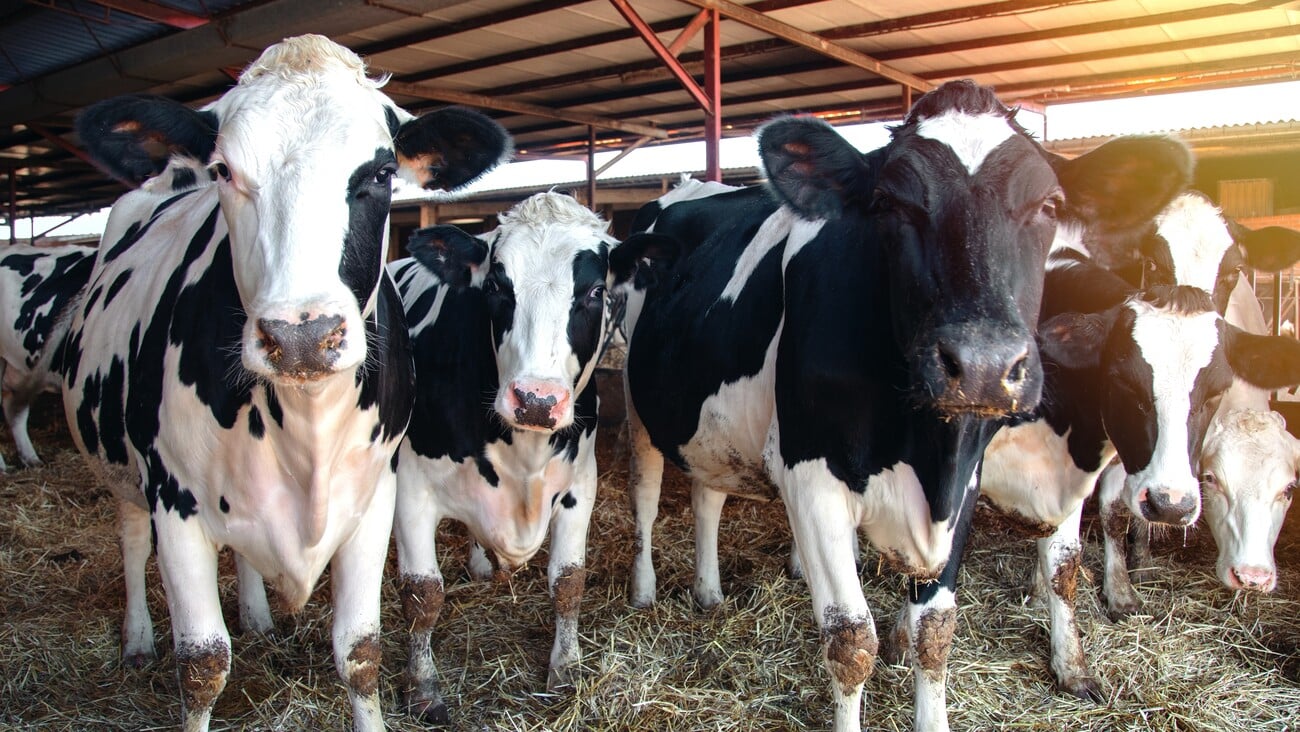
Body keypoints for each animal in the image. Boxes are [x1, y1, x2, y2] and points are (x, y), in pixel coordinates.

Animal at [67, 35, 506, 732]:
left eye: (381, 174)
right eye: (224, 170)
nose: (302, 336)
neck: (307, 425)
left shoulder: (373, 499)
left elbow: (360, 651)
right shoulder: (174, 502)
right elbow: (202, 668)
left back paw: (258, 617)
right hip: (121, 467)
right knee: (132, 541)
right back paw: (137, 638)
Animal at [384, 192, 618, 722]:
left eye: (596, 290)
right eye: (496, 284)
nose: (535, 399)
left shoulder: (580, 485)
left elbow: (569, 583)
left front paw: (565, 669)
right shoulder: (410, 490)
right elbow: (422, 594)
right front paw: (423, 687)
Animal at [608, 77, 1190, 728]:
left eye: (1049, 205)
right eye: (889, 203)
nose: (983, 366)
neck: (924, 449)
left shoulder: (963, 485)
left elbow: (935, 632)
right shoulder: (811, 480)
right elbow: (849, 641)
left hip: (712, 421)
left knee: (709, 493)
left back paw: (709, 591)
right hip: (636, 400)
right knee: (646, 496)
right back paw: (643, 591)